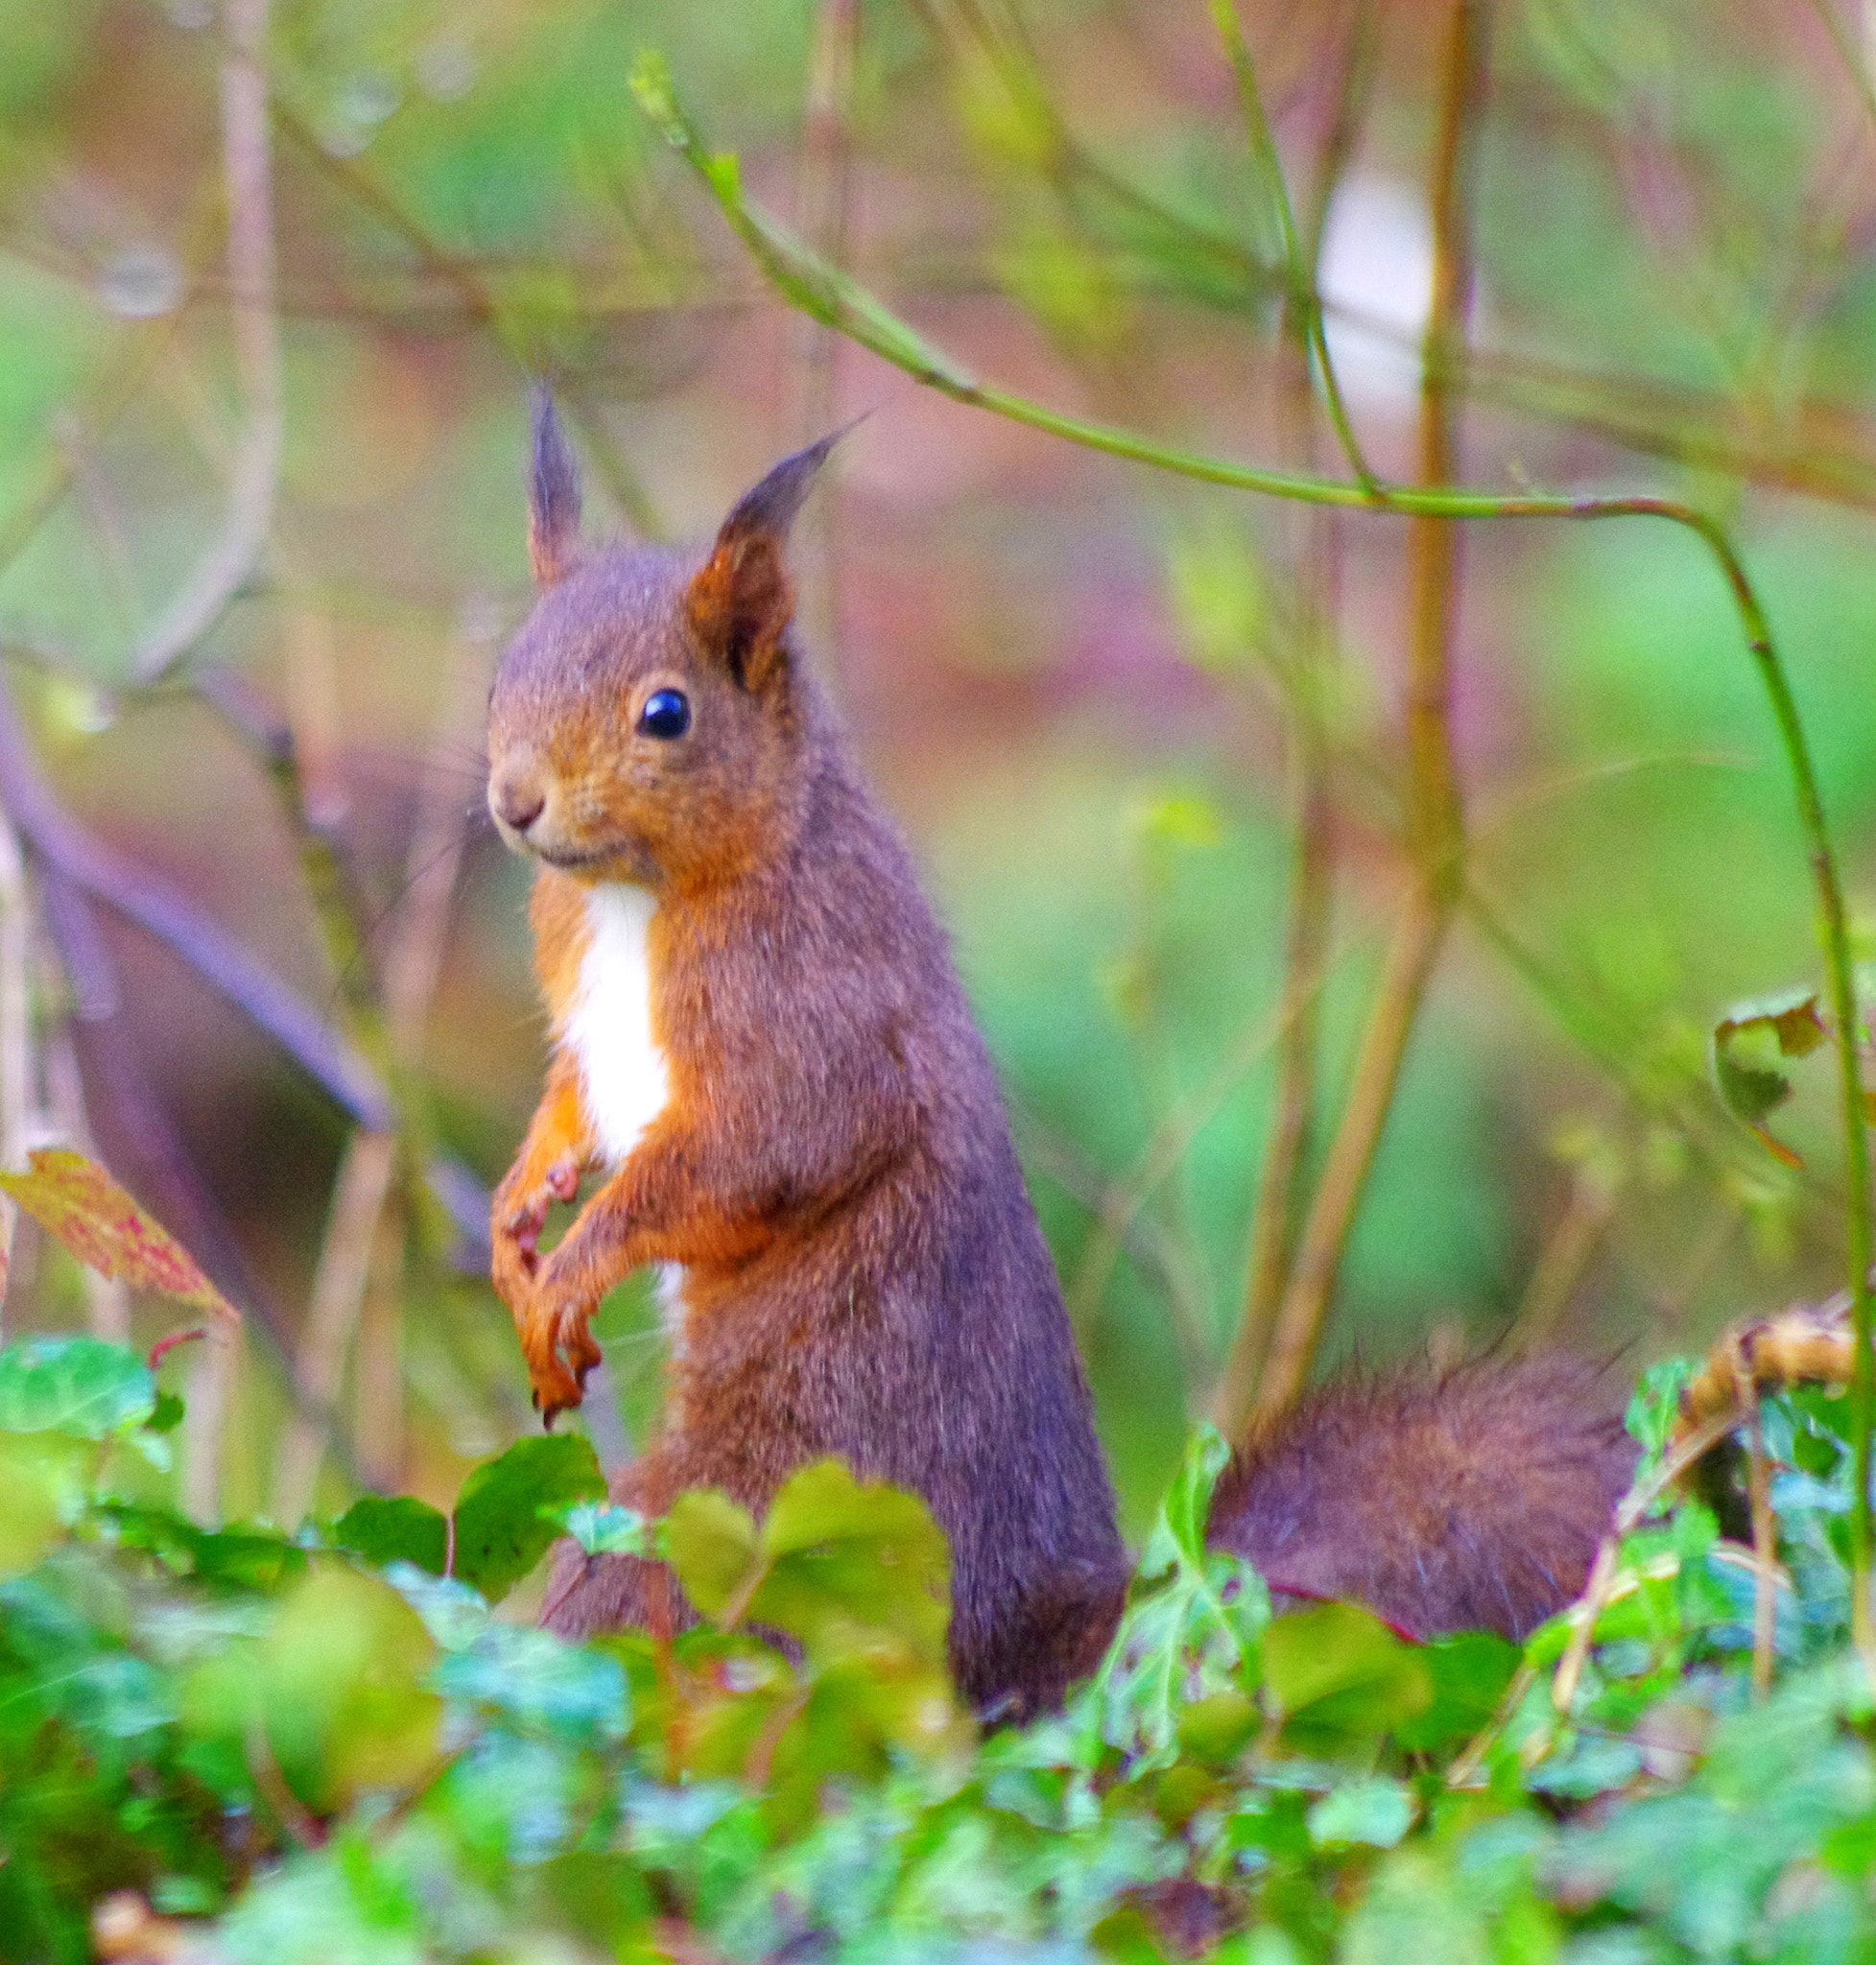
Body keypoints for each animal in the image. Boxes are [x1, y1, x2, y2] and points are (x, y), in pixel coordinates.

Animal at [490, 402, 1634, 1721]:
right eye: (507, 664)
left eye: (666, 713)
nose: (513, 800)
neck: (632, 895)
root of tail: (1006, 1663)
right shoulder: (583, 1010)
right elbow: (574, 1108)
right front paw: (517, 1219)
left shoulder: (808, 1007)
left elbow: (756, 1152)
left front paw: (576, 1263)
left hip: (734, 1526)